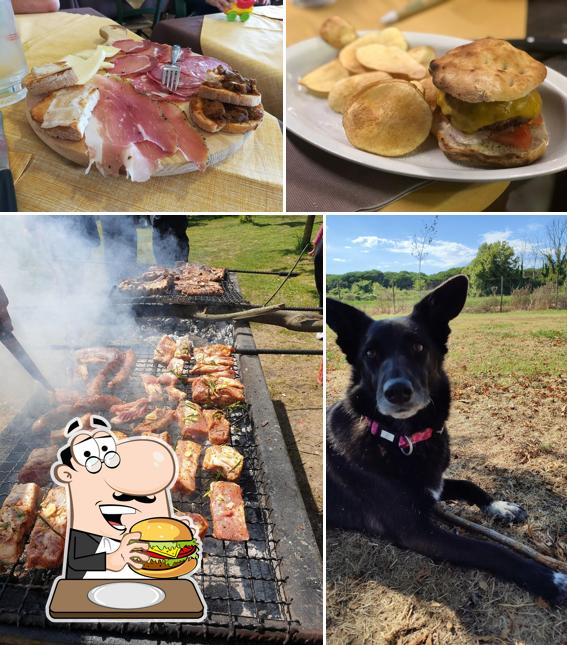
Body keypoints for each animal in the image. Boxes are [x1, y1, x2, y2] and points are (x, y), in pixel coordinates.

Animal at [328, 276, 567, 604]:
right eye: (370, 354)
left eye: (418, 346)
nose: (397, 391)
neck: (402, 438)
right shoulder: (417, 531)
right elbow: (489, 549)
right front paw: (551, 579)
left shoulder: (435, 484)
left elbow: (469, 484)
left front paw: (500, 507)